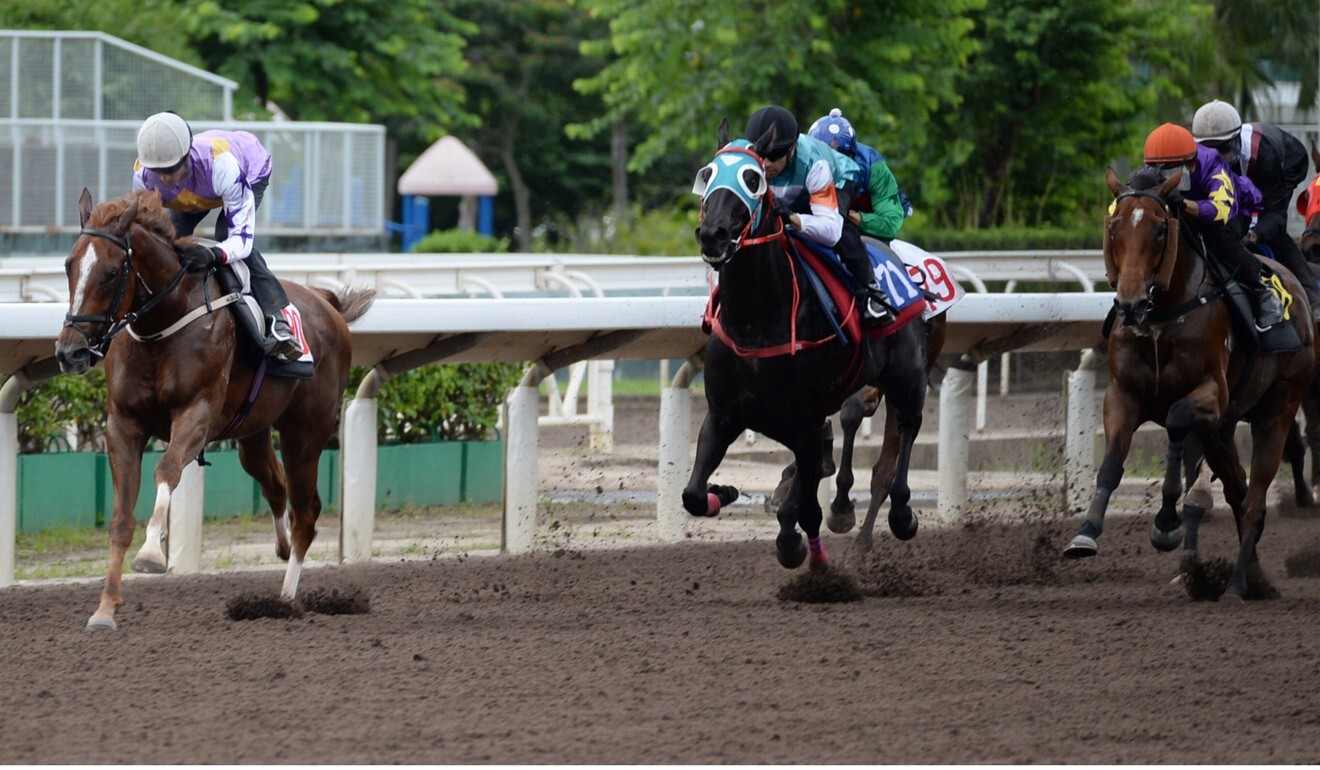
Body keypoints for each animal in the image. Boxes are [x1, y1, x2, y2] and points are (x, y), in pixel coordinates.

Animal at [56, 188, 374, 633]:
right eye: (69, 266)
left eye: (111, 272)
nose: (70, 352)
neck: (162, 323)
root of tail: (327, 302)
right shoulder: (123, 425)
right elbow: (120, 519)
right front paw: (105, 609)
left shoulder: (197, 414)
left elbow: (167, 472)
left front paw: (152, 553)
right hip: (252, 434)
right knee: (275, 487)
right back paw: (280, 551)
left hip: (305, 435)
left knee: (306, 513)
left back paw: (285, 600)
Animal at [1061, 170, 1320, 602]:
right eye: (1114, 227)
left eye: (1160, 229)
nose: (1129, 303)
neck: (1162, 318)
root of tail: (1298, 291)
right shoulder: (1122, 395)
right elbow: (1111, 464)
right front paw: (1086, 532)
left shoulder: (1211, 395)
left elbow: (1177, 419)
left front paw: (1167, 524)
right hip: (1224, 430)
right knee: (1239, 492)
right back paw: (1251, 578)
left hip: (1281, 403)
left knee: (1255, 497)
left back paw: (1236, 584)